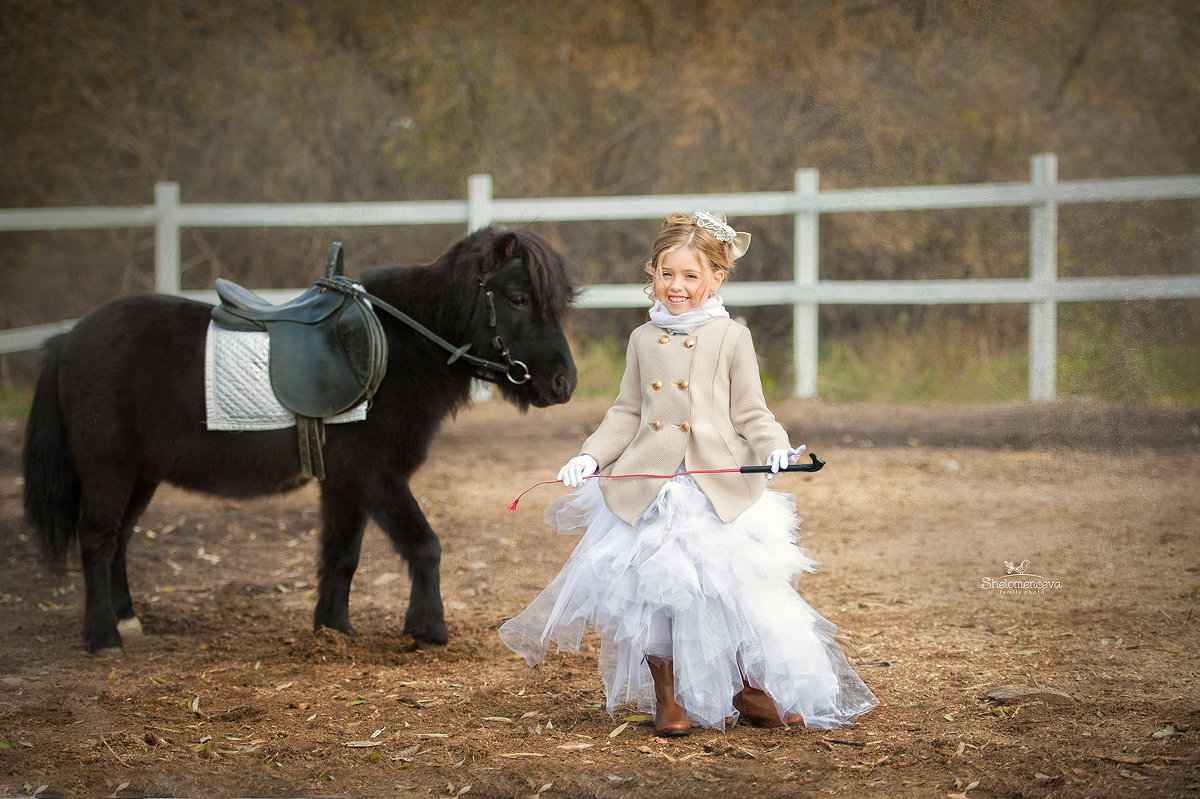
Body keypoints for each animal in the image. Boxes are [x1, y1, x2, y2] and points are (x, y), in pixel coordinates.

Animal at [22, 225, 576, 652]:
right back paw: (103, 637)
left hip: (141, 475)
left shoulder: (345, 485)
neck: (401, 346)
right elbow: (425, 545)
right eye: (519, 298)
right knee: (97, 539)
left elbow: (340, 555)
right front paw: (428, 629)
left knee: (118, 539)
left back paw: (127, 620)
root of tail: (68, 339)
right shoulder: (375, 478)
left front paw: (333, 628)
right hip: (108, 470)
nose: (563, 384)